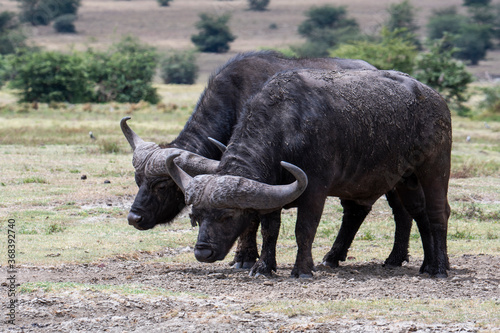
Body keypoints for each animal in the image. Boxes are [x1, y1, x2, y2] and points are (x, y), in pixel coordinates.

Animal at [121, 51, 410, 268]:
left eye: (162, 185)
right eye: (138, 181)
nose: (134, 218)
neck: (236, 99)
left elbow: (252, 220)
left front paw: (245, 259)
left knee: (398, 212)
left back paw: (393, 257)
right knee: (358, 212)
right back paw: (337, 257)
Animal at [168, 68, 454, 278]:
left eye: (227, 216)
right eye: (195, 217)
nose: (203, 252)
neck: (286, 128)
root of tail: (436, 99)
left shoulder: (315, 188)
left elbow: (304, 229)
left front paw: (302, 269)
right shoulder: (270, 190)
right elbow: (270, 229)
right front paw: (263, 267)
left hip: (435, 168)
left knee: (437, 212)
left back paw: (439, 269)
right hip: (406, 178)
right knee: (417, 213)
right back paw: (427, 264)